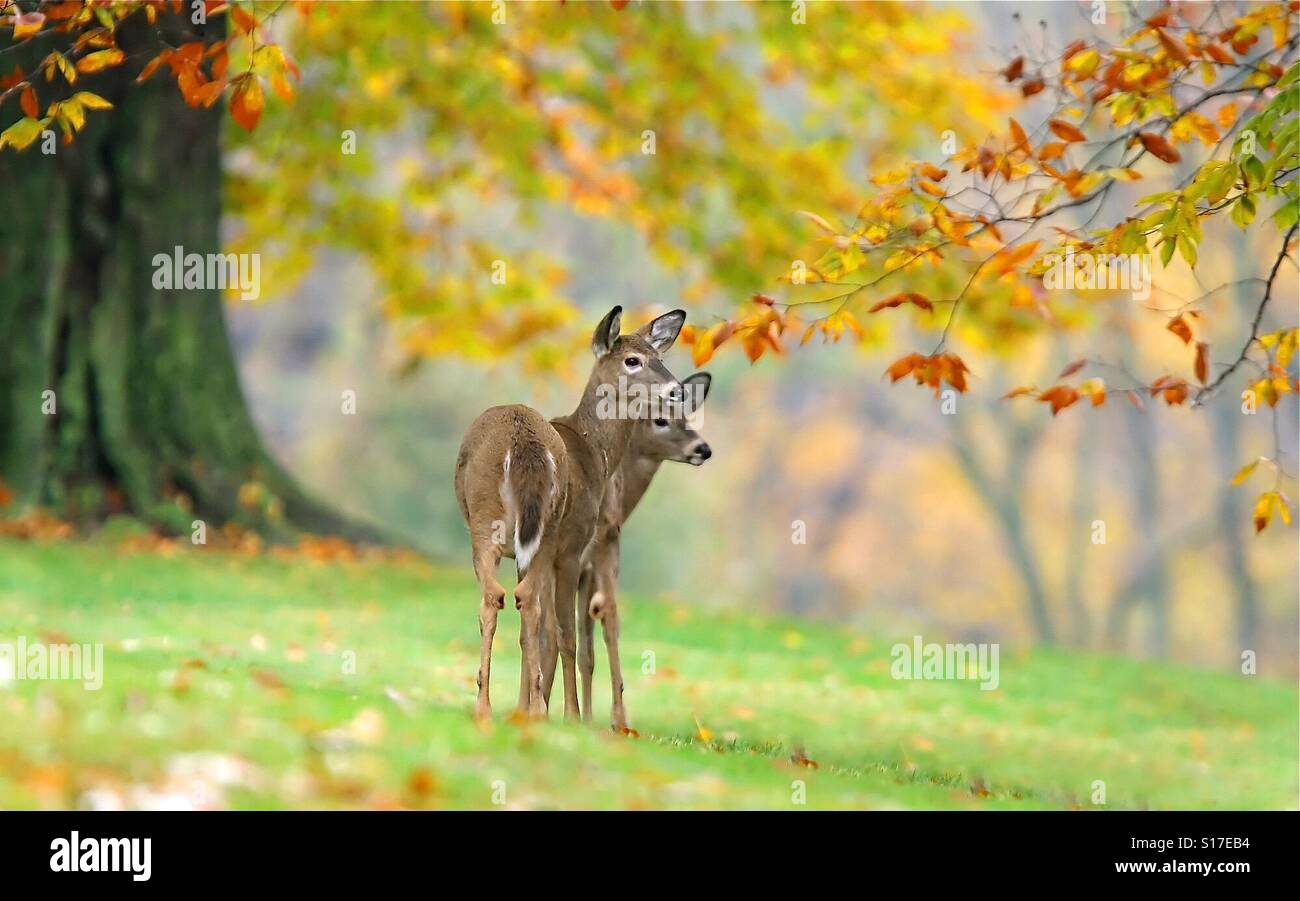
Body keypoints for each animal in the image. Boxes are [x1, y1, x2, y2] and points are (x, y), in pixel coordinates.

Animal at [454, 305, 687, 721]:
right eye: (632, 360)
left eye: (660, 358)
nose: (678, 390)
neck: (594, 452)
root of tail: (523, 443)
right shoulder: (572, 547)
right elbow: (564, 632)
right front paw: (569, 714)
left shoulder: (532, 553)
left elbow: (535, 630)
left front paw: (529, 704)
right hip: (548, 533)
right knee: (536, 609)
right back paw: (541, 711)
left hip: (486, 524)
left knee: (498, 597)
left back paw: (486, 706)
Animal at [574, 370, 713, 731]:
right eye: (661, 419)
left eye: (688, 415)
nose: (703, 449)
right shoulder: (594, 561)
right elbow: (597, 631)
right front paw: (597, 717)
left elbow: (583, 648)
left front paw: (580, 716)